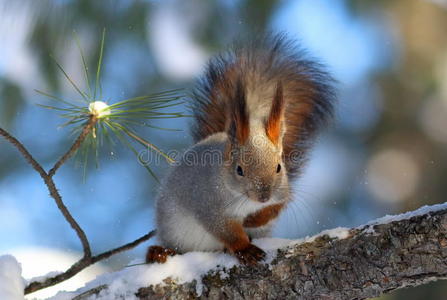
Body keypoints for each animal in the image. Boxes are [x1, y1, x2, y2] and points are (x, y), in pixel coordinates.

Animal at [147, 34, 336, 264]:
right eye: (239, 170)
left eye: (279, 167)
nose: (263, 196)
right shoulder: (208, 204)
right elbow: (226, 230)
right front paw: (244, 248)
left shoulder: (282, 192)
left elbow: (276, 208)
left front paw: (254, 220)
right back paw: (159, 252)